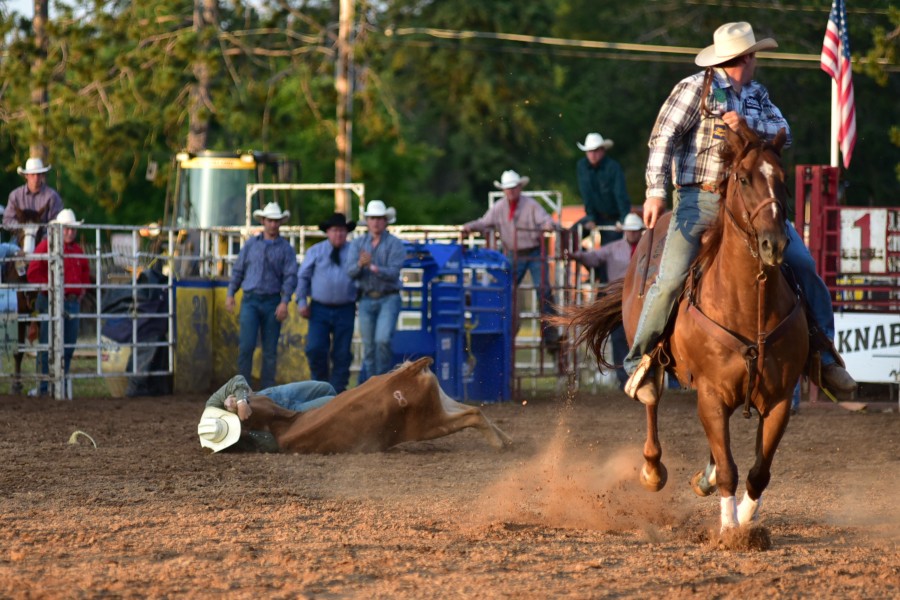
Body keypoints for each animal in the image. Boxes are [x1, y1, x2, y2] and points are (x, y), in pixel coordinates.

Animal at [568, 124, 804, 532]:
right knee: (651, 400)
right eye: (743, 178)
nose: (773, 243)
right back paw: (652, 468)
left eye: (783, 180)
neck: (748, 305)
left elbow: (759, 471)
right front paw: (729, 530)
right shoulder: (709, 392)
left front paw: (745, 518)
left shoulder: (780, 399)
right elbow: (729, 468)